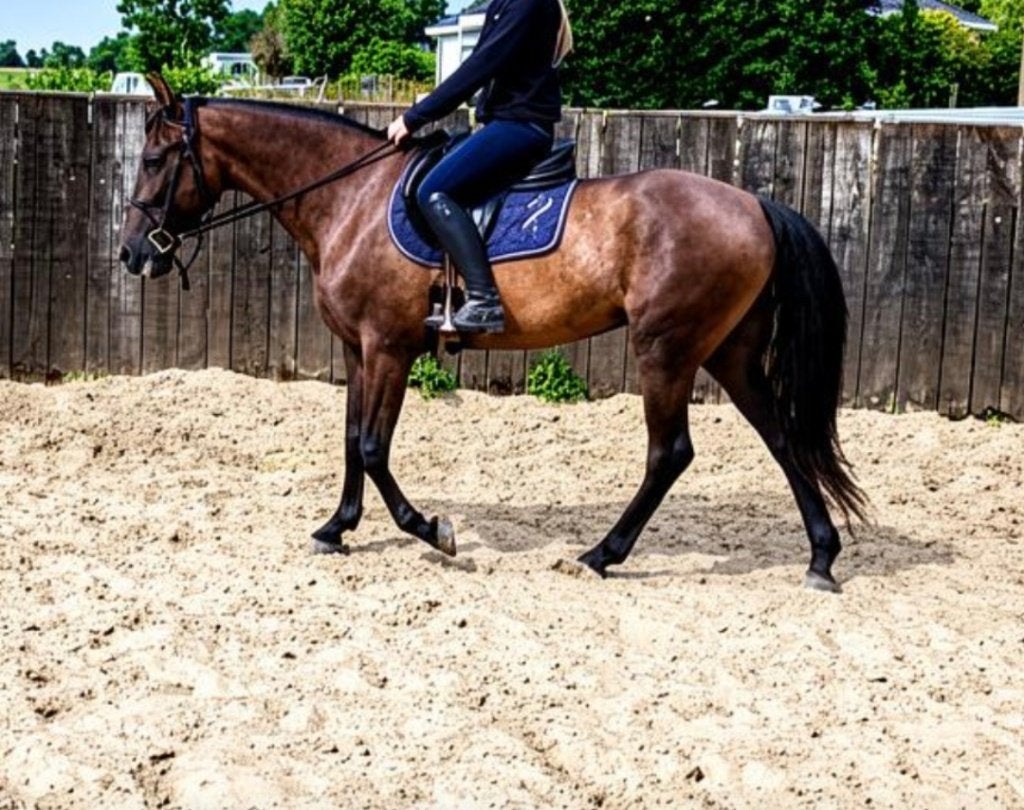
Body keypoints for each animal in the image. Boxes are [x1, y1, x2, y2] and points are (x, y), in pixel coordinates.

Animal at [118, 74, 867, 591]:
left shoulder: (389, 349)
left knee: (670, 453)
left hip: (668, 349)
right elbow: (351, 441)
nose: (131, 253)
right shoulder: (358, 351)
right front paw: (337, 528)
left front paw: (431, 530)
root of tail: (755, 204)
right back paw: (821, 556)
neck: (351, 200)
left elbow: (373, 447)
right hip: (730, 353)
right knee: (781, 437)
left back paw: (601, 555)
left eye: (154, 161)